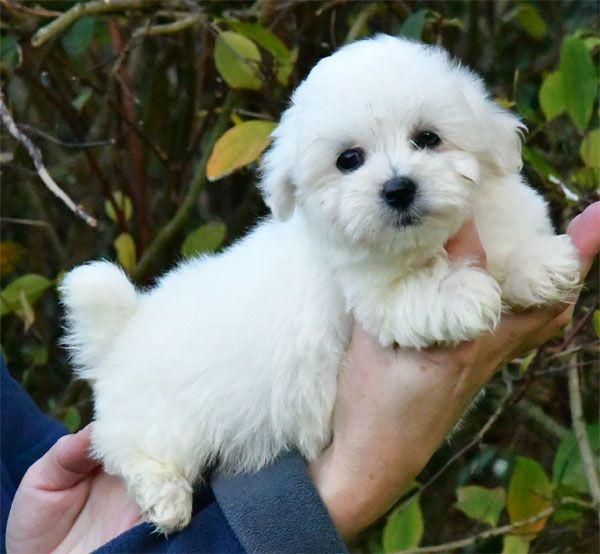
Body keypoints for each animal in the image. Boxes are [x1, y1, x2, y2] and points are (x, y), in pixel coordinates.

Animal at [61, 34, 580, 532]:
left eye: (428, 138)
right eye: (348, 160)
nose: (398, 188)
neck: (424, 241)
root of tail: (126, 326)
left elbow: (509, 241)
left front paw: (538, 263)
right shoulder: (372, 293)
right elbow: (412, 292)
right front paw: (462, 293)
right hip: (160, 421)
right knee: (128, 448)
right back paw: (164, 497)